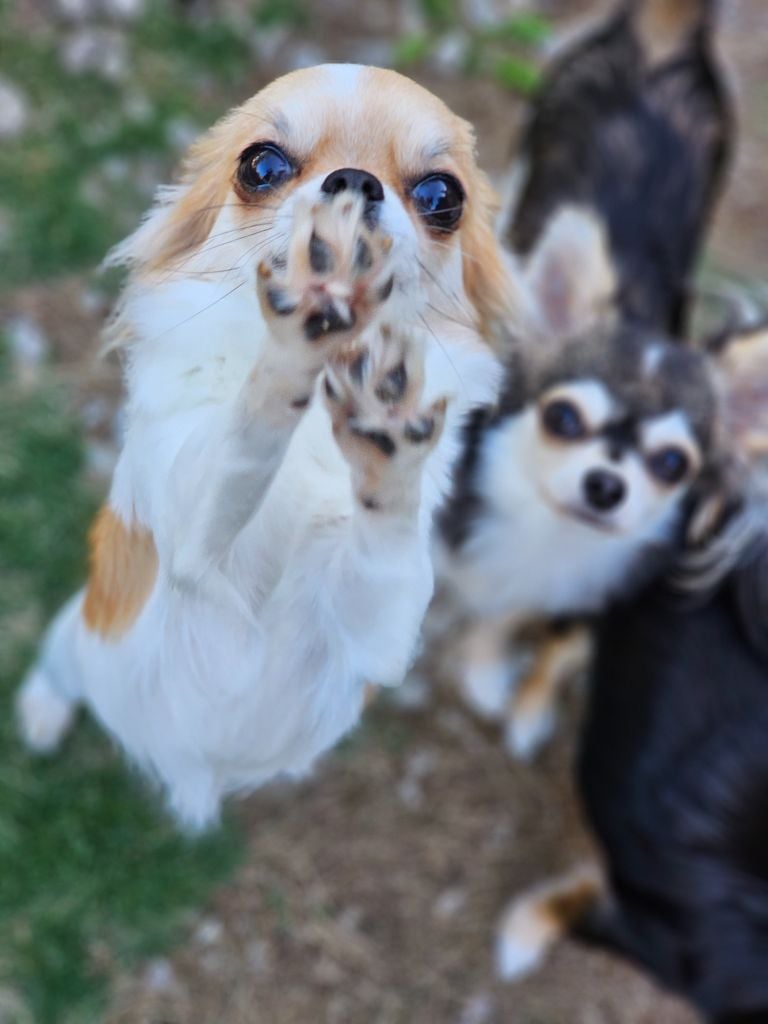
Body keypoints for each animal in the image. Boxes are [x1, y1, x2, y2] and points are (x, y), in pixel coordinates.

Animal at [16, 65, 513, 830]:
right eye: (263, 165)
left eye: (441, 196)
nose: (355, 181)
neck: (313, 430)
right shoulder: (192, 540)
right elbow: (242, 437)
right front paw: (298, 335)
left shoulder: (377, 635)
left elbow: (385, 541)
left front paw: (385, 430)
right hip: (81, 636)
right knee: (55, 668)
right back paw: (41, 709)